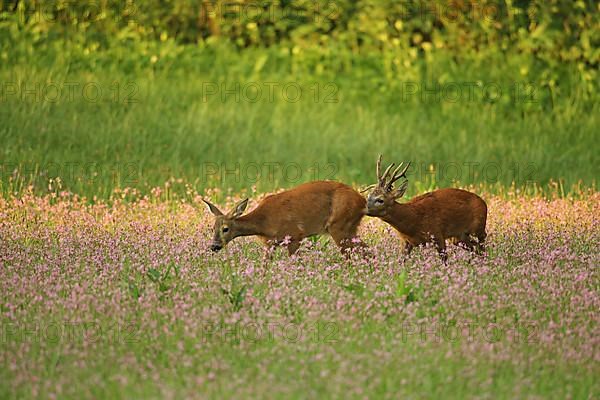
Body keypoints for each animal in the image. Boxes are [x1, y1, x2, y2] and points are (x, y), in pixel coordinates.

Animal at [204, 181, 368, 256]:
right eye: (212, 228)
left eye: (225, 229)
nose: (214, 246)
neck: (264, 223)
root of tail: (363, 201)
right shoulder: (269, 244)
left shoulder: (294, 235)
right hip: (348, 227)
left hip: (339, 226)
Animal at [360, 155, 488, 262]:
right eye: (368, 196)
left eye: (380, 200)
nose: (365, 208)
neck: (412, 221)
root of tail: (483, 202)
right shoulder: (406, 242)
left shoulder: (437, 234)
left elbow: (445, 260)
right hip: (459, 237)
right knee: (475, 248)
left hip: (478, 228)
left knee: (482, 246)